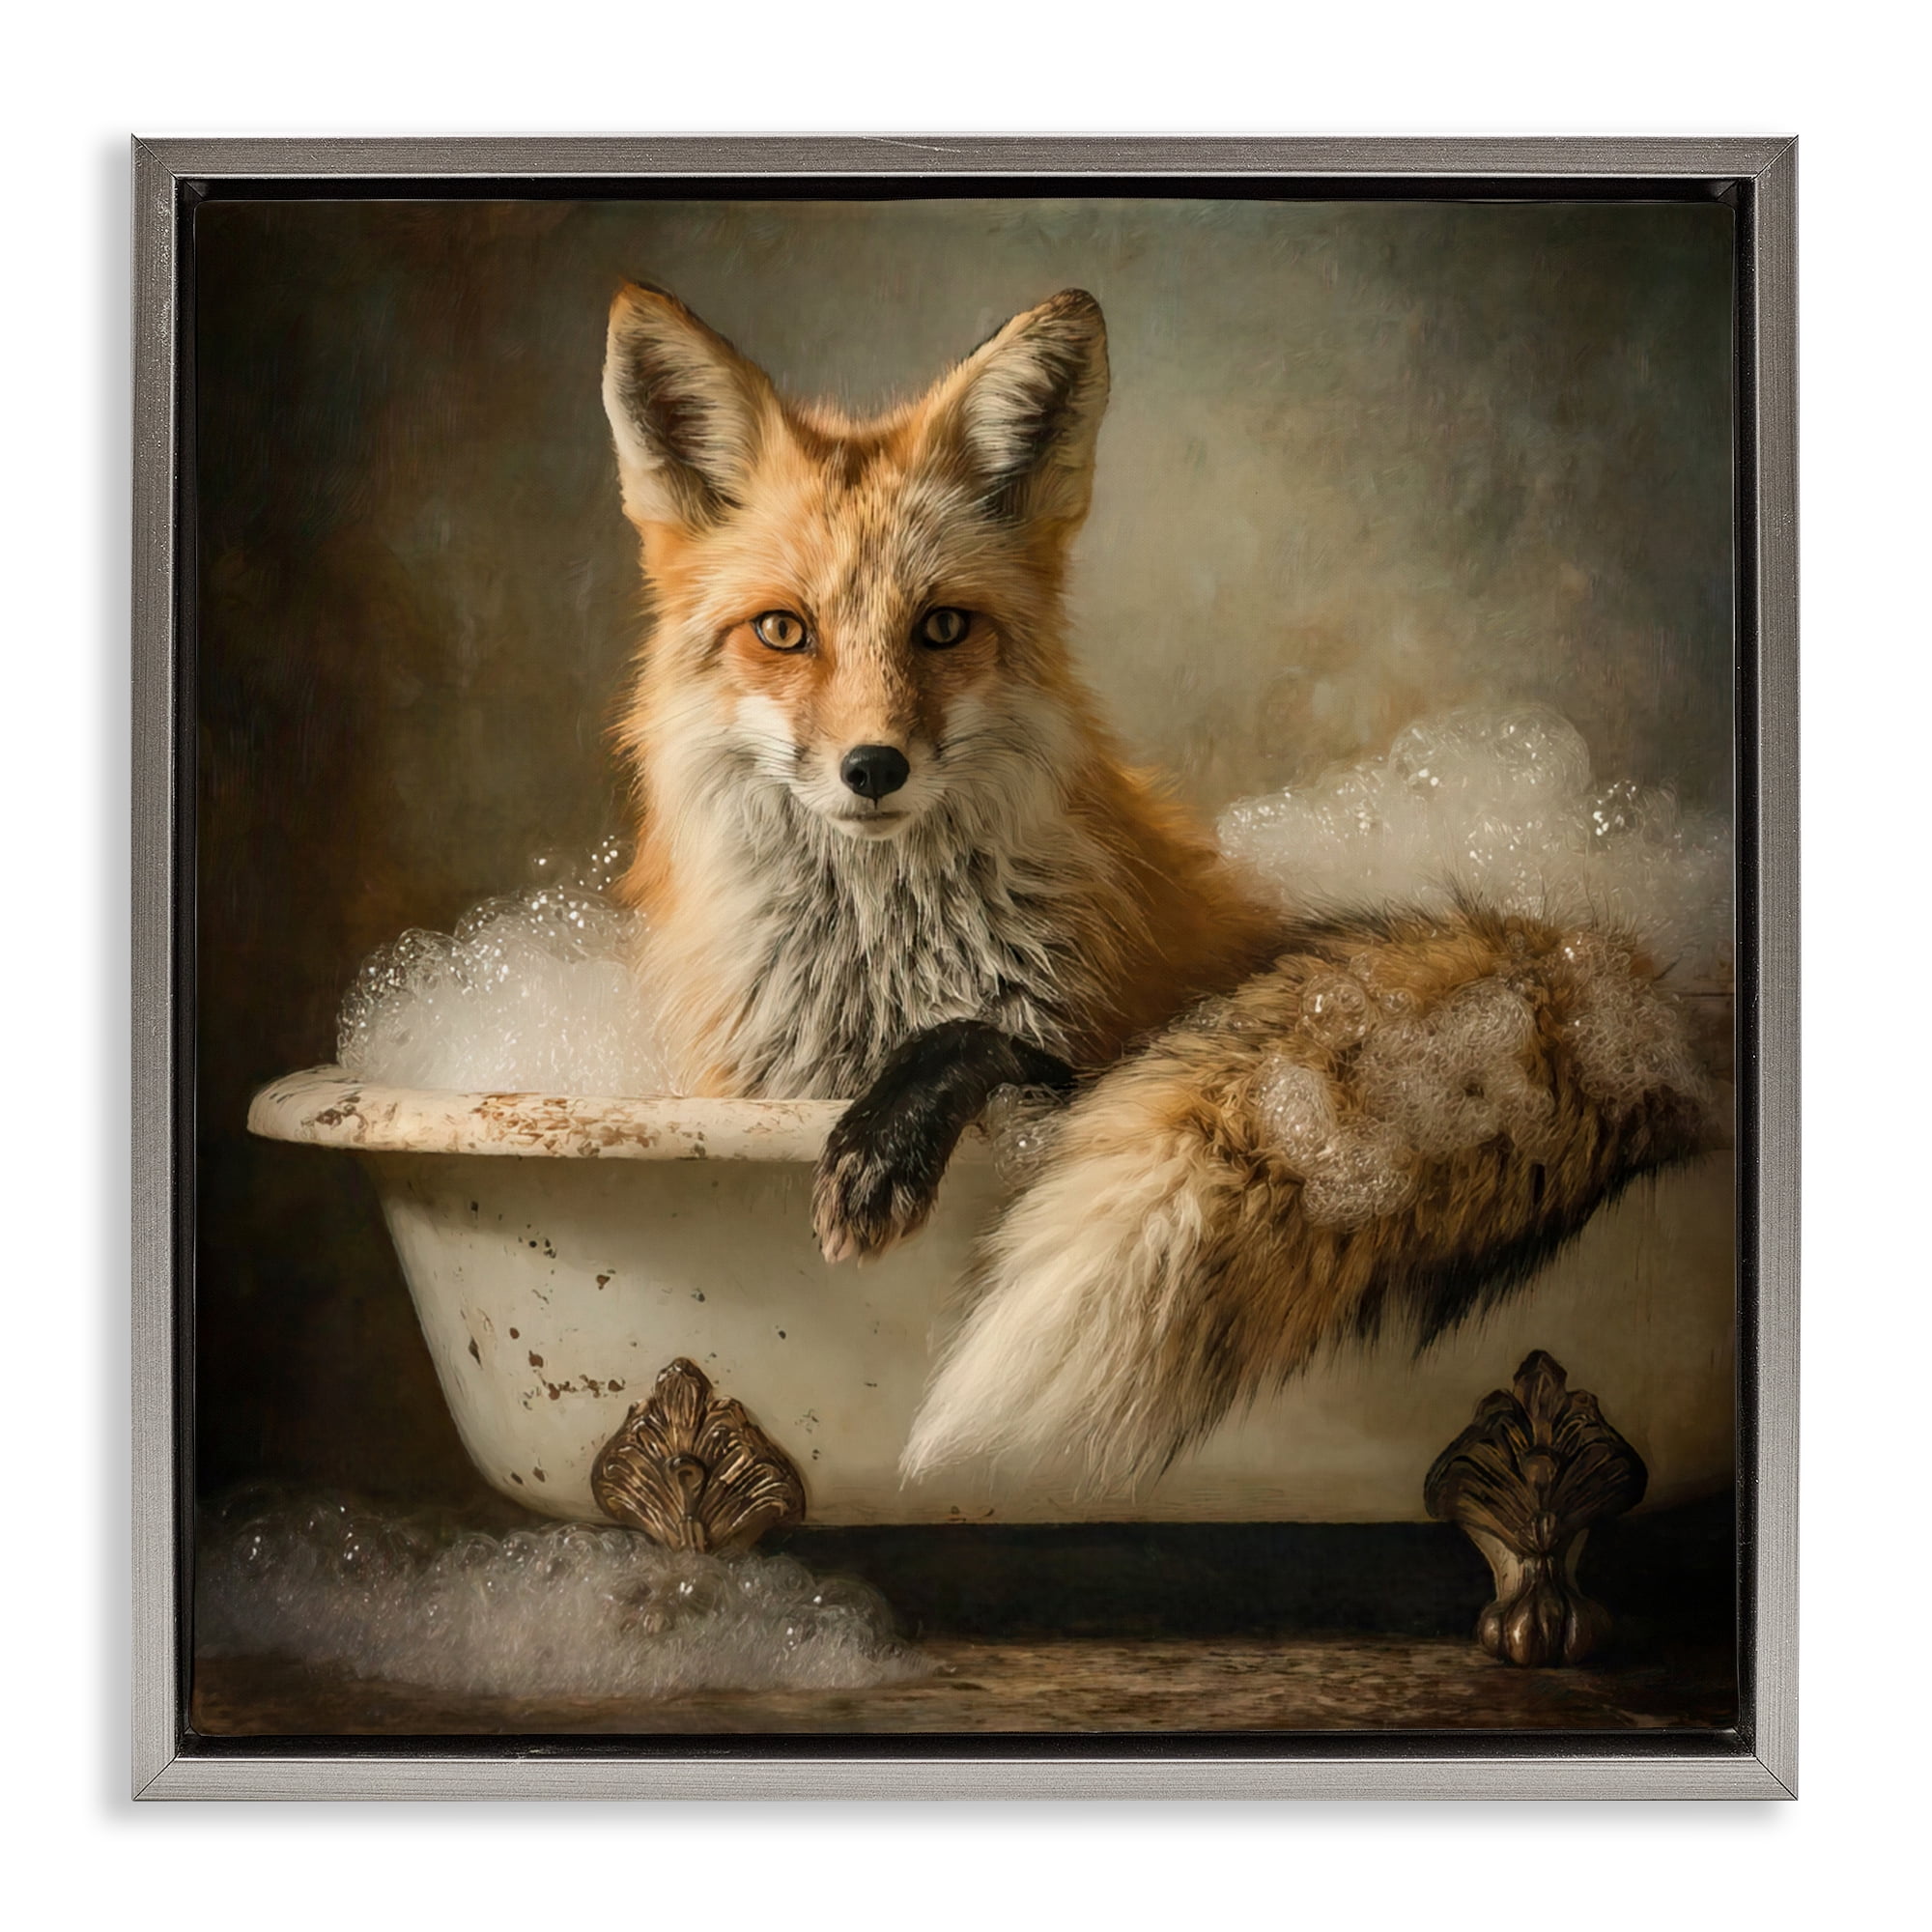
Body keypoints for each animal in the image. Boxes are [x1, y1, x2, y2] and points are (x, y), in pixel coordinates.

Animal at [599, 280, 1713, 1492]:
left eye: (941, 626)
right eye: (782, 631)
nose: (873, 766)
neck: (882, 968)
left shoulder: (1090, 1041)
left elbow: (975, 1035)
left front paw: (882, 1142)